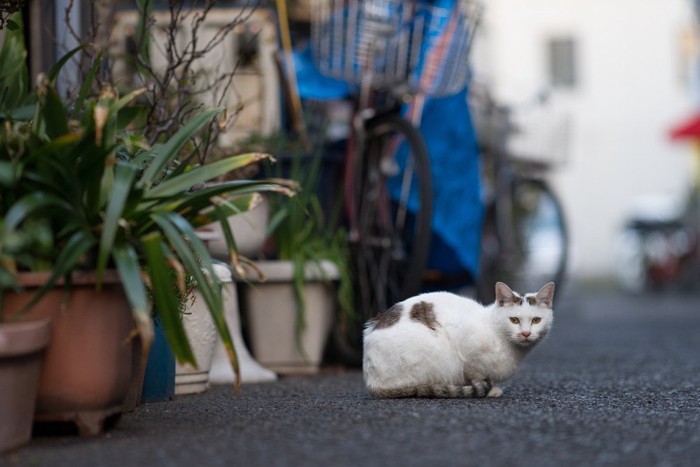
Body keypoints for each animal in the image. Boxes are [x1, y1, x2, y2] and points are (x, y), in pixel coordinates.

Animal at [364, 282, 556, 398]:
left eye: (536, 320)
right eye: (514, 320)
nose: (525, 333)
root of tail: (372, 381)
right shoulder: (467, 348)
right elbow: (477, 374)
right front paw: (488, 389)